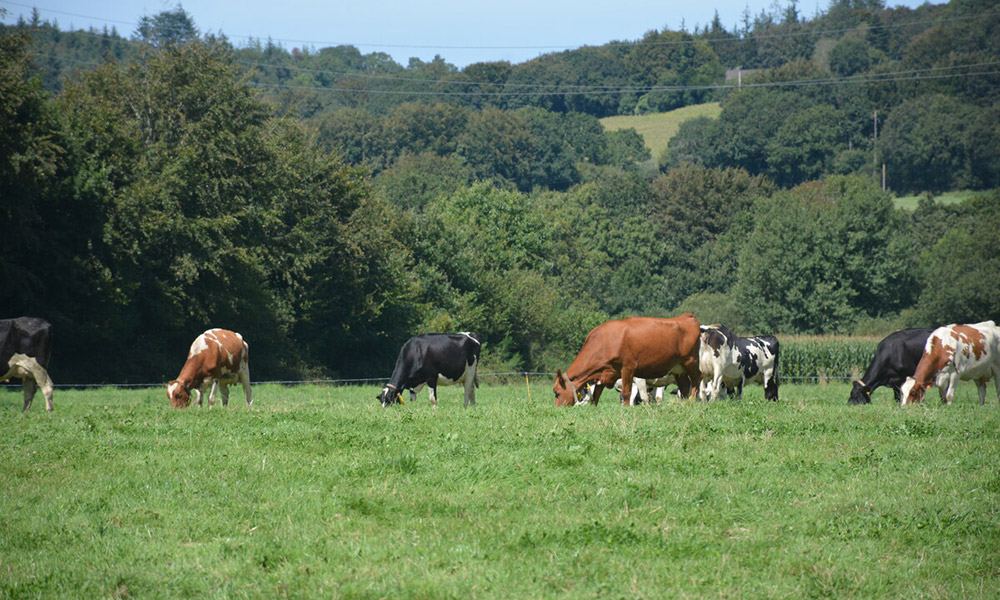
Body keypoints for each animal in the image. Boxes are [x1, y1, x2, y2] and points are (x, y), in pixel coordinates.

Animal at [552, 314, 700, 408]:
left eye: (556, 392)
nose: (557, 408)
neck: (605, 341)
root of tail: (686, 316)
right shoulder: (606, 372)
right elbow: (596, 393)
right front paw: (593, 407)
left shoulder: (628, 368)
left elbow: (626, 392)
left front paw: (627, 408)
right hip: (678, 369)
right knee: (685, 385)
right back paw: (683, 403)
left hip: (691, 362)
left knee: (696, 381)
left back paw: (692, 400)